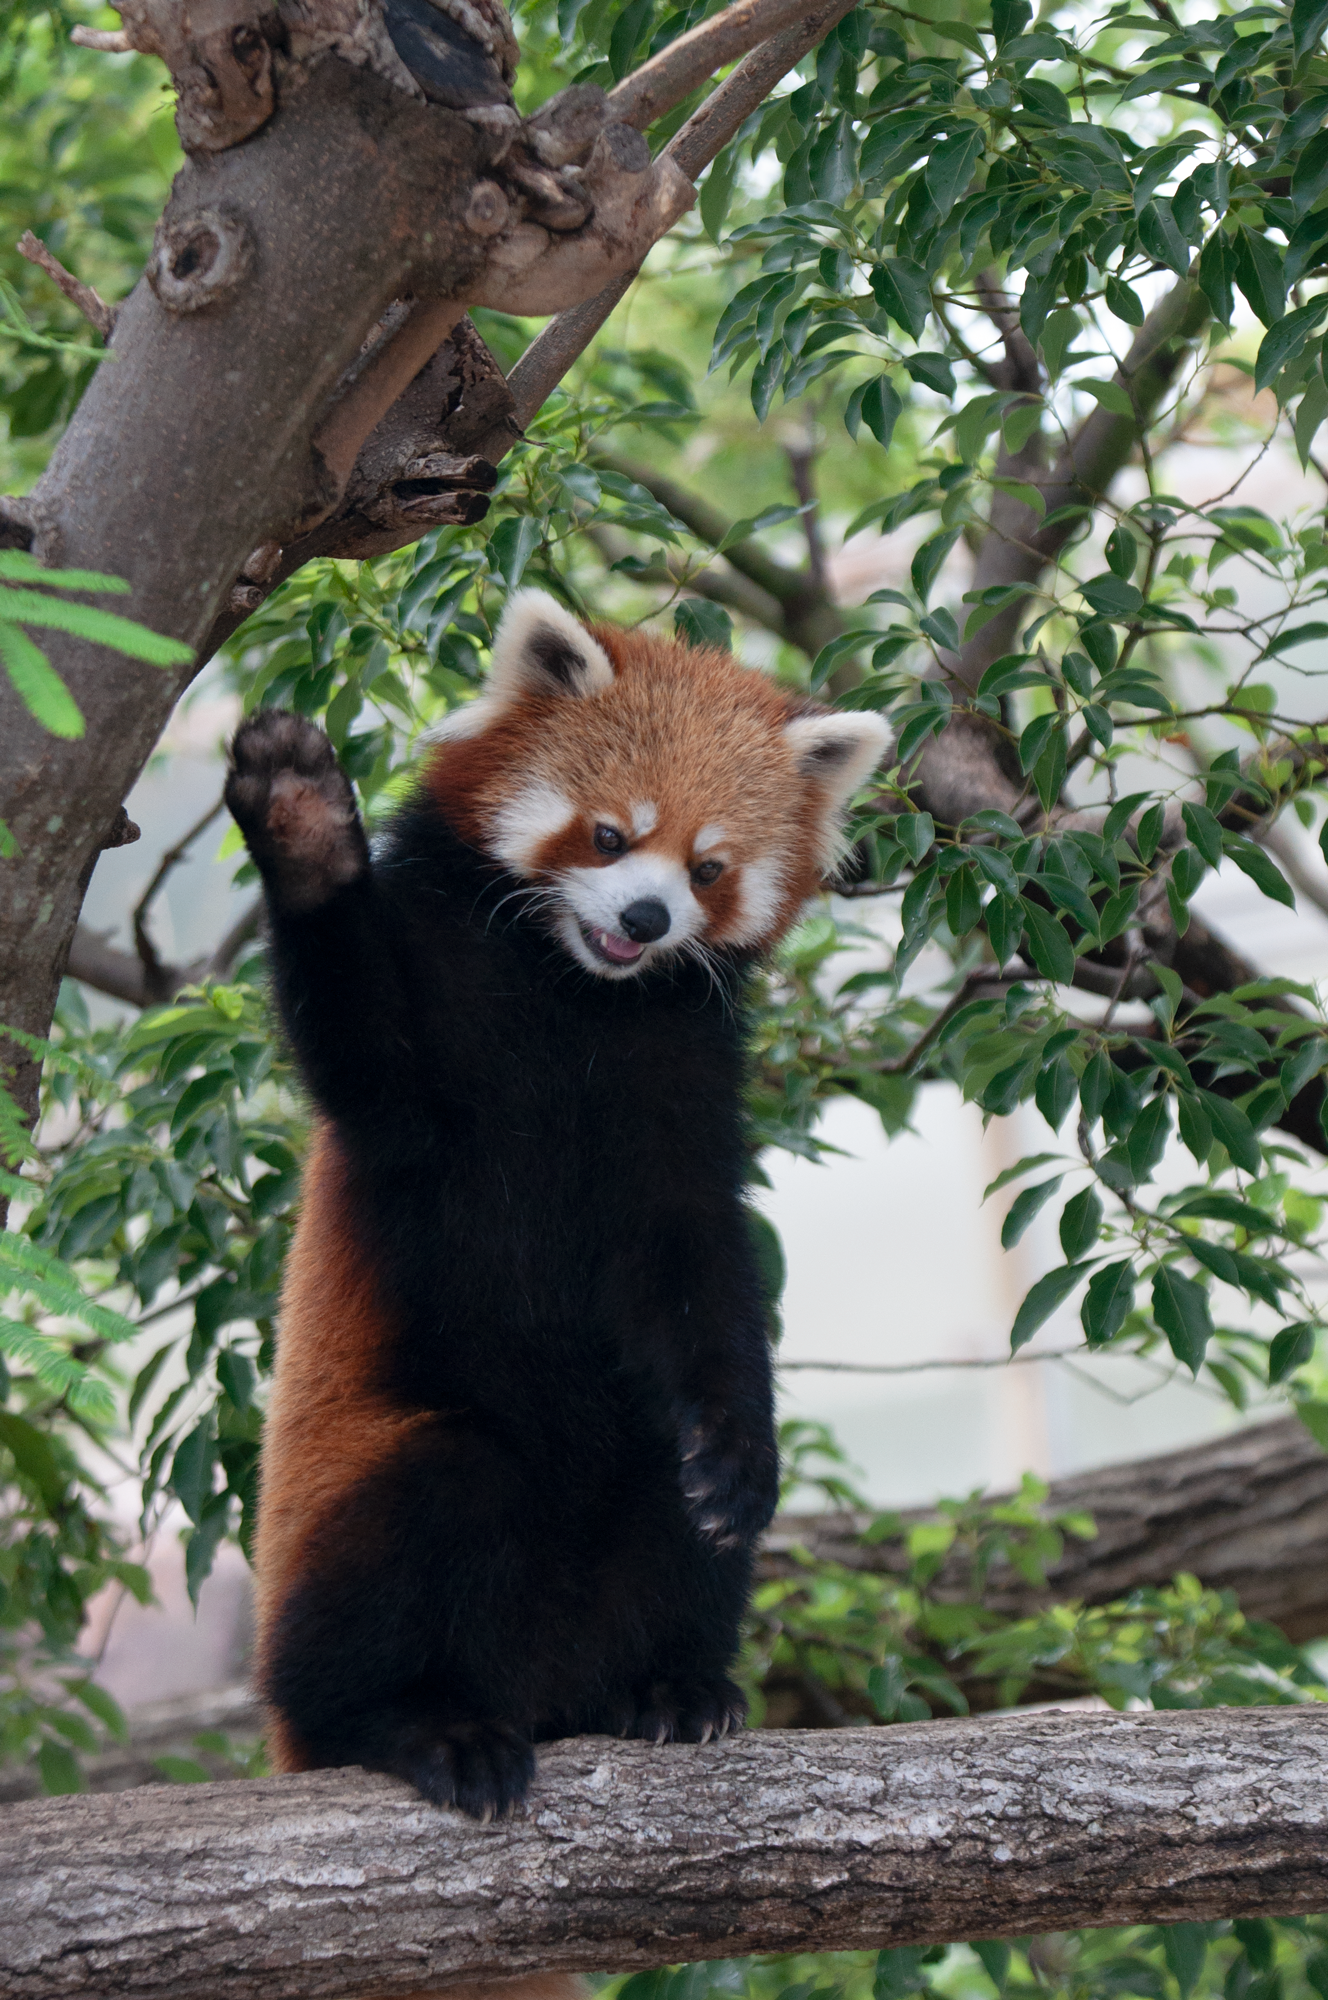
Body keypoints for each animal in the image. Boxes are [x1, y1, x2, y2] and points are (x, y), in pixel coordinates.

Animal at [226, 596, 892, 1856]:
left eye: (706, 866)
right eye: (606, 835)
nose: (644, 914)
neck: (574, 991)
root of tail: (532, 1681)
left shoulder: (679, 1078)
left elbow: (698, 1268)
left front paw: (737, 1441)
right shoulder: (429, 1059)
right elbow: (368, 1054)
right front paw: (302, 824)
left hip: (630, 1518)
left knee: (677, 1507)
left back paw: (668, 1686)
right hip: (355, 1502)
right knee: (431, 1498)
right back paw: (417, 1723)